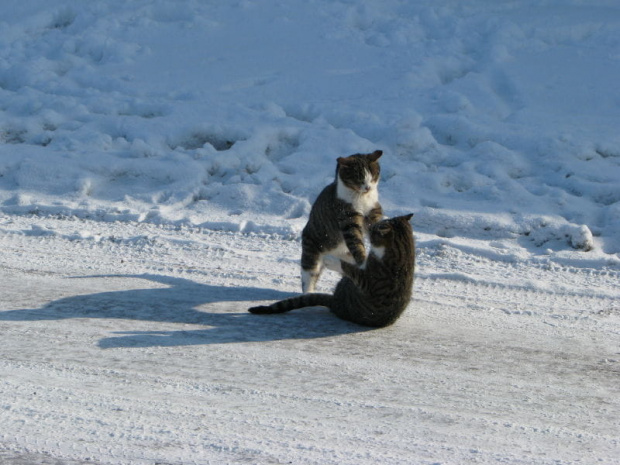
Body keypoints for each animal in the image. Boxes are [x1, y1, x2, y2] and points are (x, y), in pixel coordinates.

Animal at [248, 214, 416, 326]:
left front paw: (330, 259)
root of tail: (335, 301)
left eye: (375, 228)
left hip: (347, 284)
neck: (404, 252)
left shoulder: (369, 281)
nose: (369, 226)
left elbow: (349, 267)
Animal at [300, 150, 382, 292]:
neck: (361, 197)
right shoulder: (348, 218)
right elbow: (356, 242)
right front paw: (363, 260)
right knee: (308, 276)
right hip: (311, 252)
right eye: (359, 178)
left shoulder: (373, 211)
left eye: (372, 175)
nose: (368, 187)